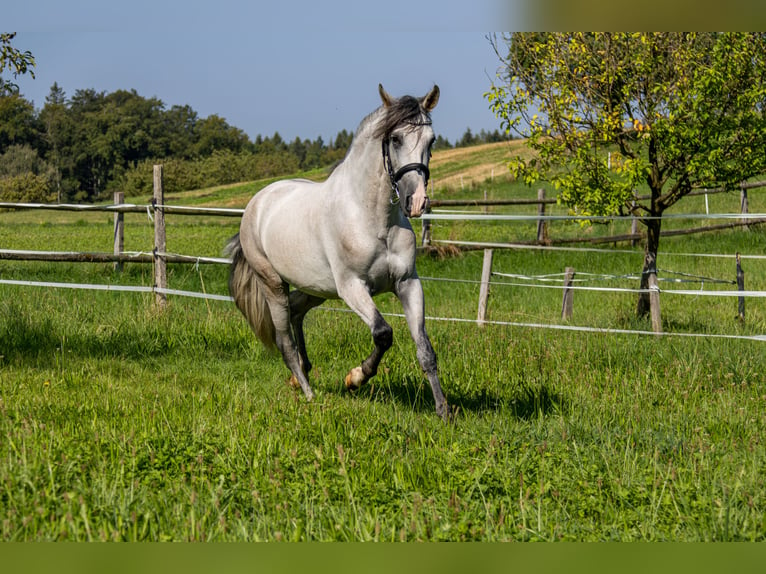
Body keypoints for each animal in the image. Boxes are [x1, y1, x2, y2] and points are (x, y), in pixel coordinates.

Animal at [225, 83, 448, 420]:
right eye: (395, 138)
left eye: (431, 140)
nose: (417, 201)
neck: (373, 219)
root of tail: (258, 202)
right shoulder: (353, 287)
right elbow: (383, 333)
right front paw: (355, 377)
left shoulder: (408, 283)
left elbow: (425, 349)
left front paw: (443, 410)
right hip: (273, 284)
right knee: (284, 339)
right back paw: (308, 393)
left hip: (316, 289)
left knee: (296, 311)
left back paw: (301, 374)